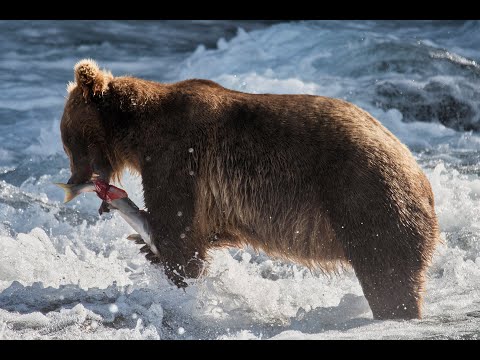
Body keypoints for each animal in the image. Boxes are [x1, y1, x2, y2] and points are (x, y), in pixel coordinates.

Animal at [60, 59, 438, 320]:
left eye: (68, 141)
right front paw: (144, 246)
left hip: (368, 201)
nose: (74, 179)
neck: (138, 132)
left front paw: (174, 274)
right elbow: (203, 232)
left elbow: (179, 234)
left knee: (387, 277)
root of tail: (421, 178)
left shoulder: (179, 157)